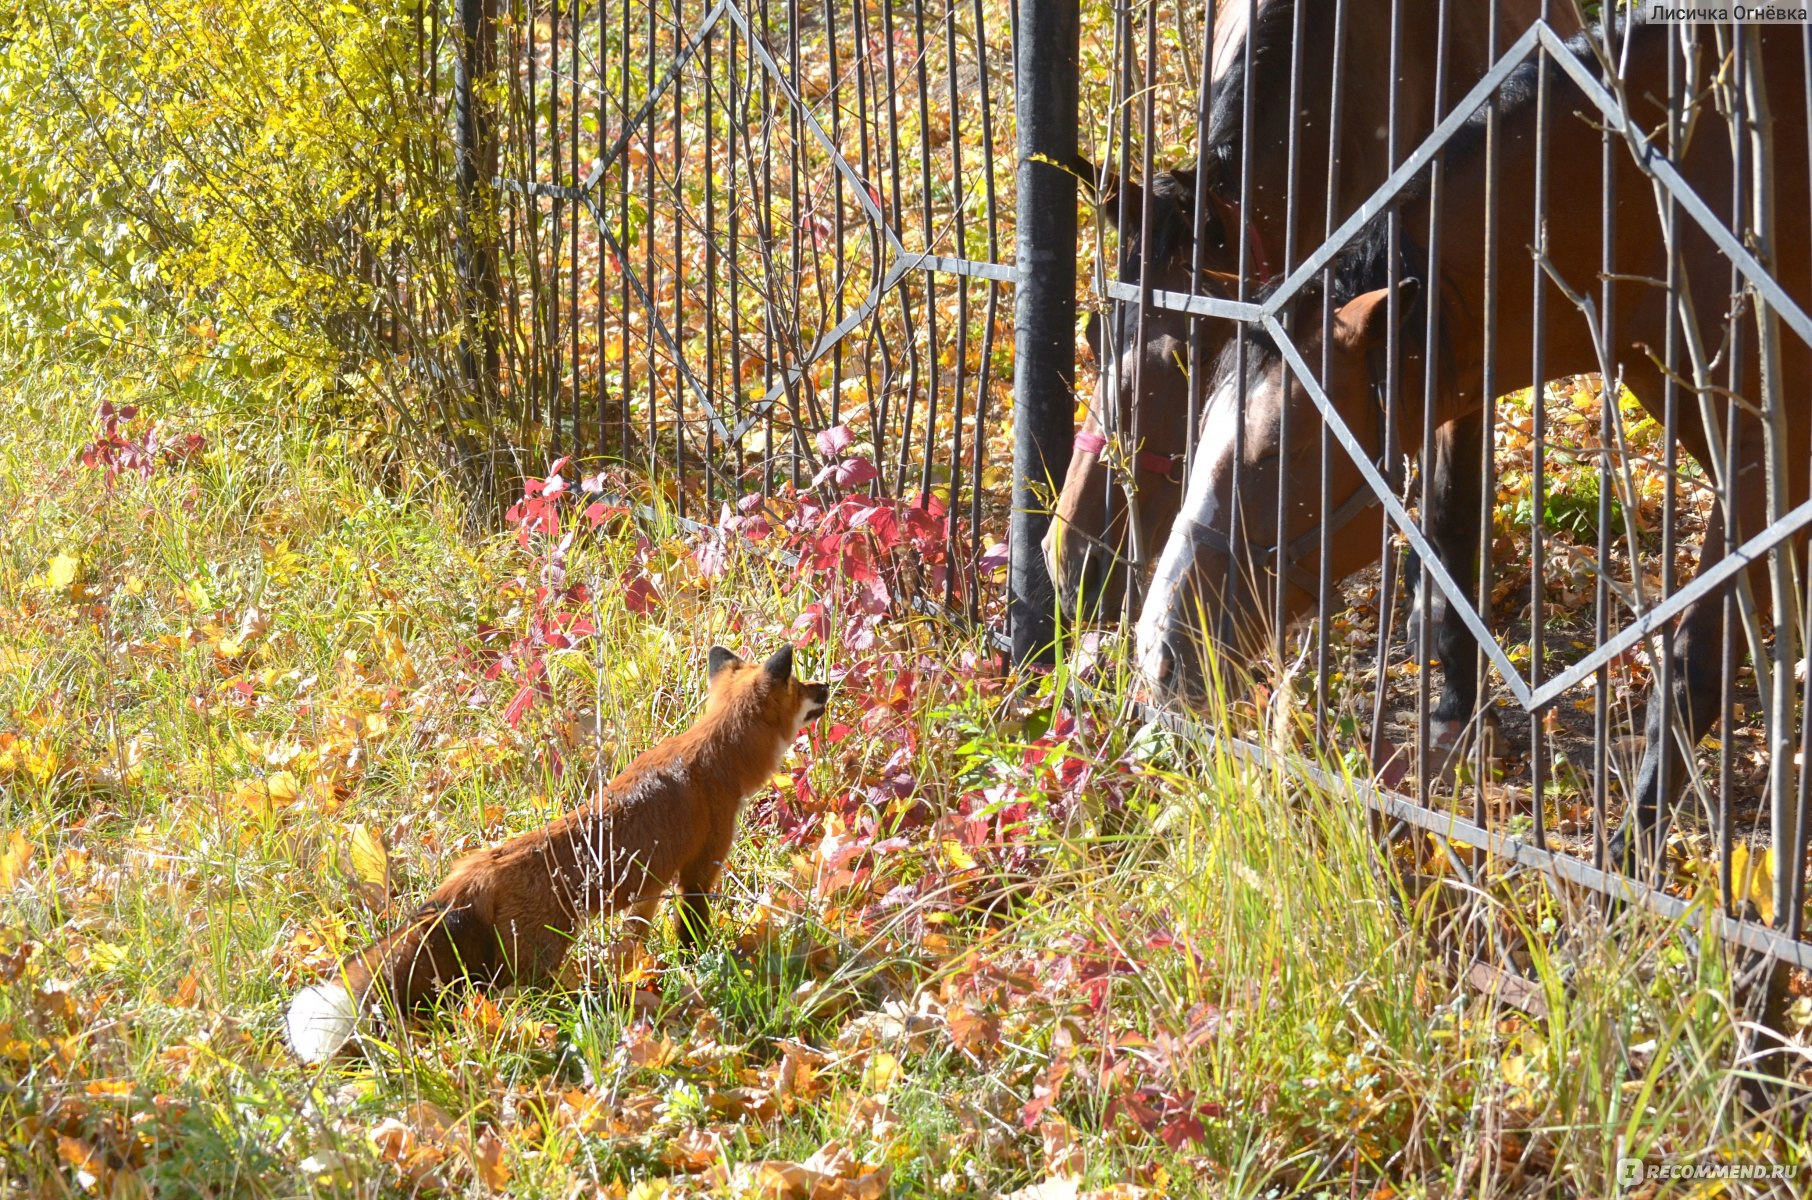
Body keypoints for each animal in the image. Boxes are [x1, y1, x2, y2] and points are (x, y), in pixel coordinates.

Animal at [284, 648, 829, 1065]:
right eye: (803, 684)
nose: (827, 685)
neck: (712, 753)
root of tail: (474, 871)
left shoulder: (652, 884)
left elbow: (636, 935)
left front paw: (639, 972)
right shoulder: (697, 871)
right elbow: (692, 935)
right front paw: (699, 966)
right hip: (535, 960)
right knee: (516, 997)